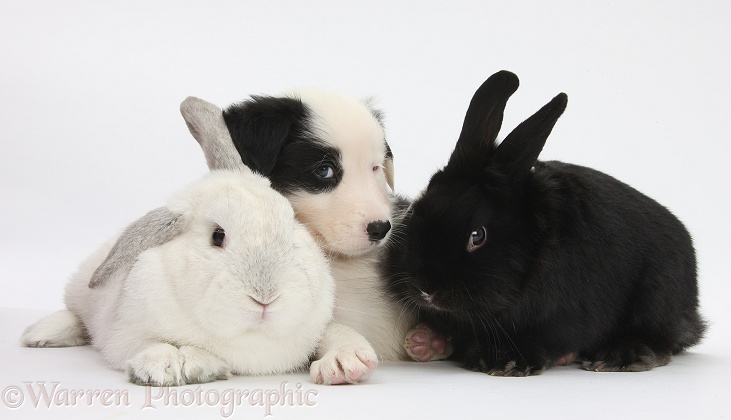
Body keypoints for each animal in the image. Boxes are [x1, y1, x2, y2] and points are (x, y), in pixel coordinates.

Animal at [20, 97, 334, 386]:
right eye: (217, 236)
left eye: (291, 224)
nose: (266, 298)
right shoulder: (124, 335)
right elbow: (152, 345)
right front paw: (160, 369)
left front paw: (198, 365)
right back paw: (39, 335)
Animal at [386, 70, 708, 376]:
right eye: (417, 209)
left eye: (478, 235)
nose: (426, 288)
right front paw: (428, 341)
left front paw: (507, 363)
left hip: (656, 299)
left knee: (658, 342)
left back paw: (617, 357)